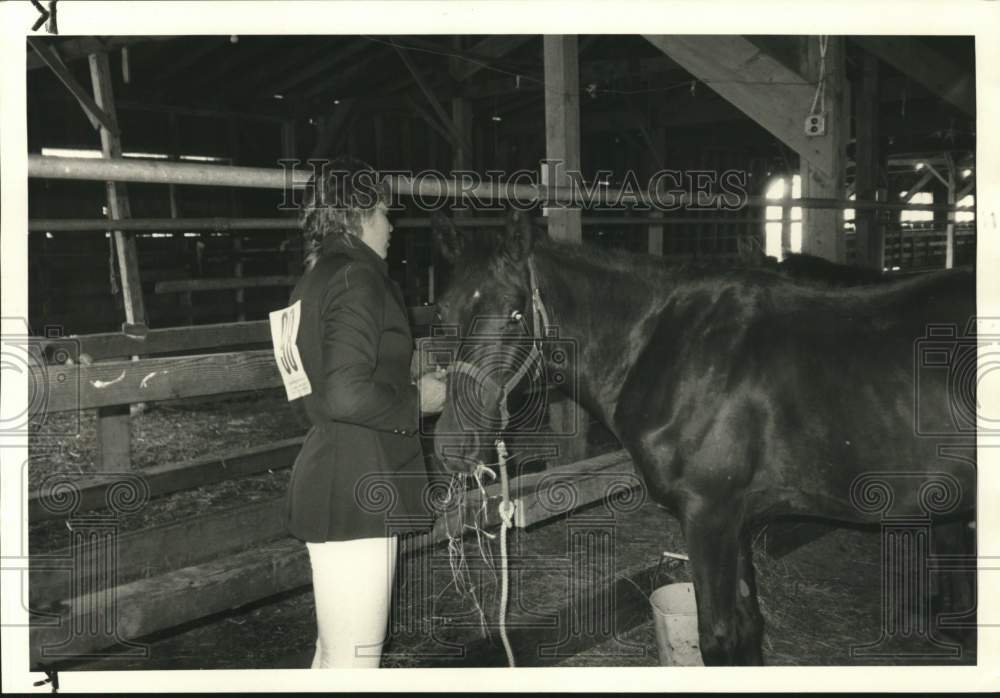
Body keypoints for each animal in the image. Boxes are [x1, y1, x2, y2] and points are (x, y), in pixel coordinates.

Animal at [430, 211, 976, 664]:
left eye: (515, 312)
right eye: (442, 311)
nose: (451, 447)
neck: (669, 350)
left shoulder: (710, 516)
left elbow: (719, 638)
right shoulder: (737, 523)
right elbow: (748, 627)